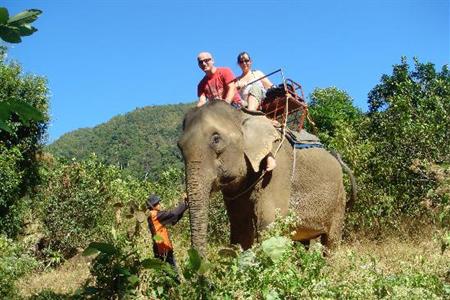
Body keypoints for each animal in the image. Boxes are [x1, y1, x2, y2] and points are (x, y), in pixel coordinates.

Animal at [178, 99, 356, 254]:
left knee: (330, 242)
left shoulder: (278, 170)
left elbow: (269, 222)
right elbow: (241, 228)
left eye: (216, 139)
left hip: (338, 201)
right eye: (179, 146)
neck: (242, 115)